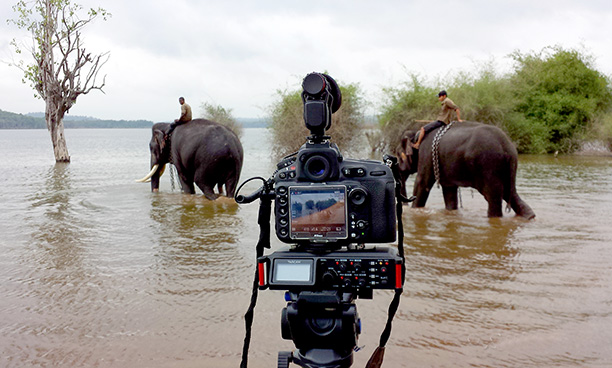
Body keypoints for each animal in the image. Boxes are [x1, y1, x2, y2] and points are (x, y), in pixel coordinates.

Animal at [396, 121, 536, 220]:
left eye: (398, 155)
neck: (416, 134)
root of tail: (507, 147)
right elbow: (449, 190)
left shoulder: (426, 154)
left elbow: (422, 183)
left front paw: (414, 210)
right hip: (506, 168)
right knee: (509, 192)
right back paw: (530, 216)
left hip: (489, 164)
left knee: (493, 196)